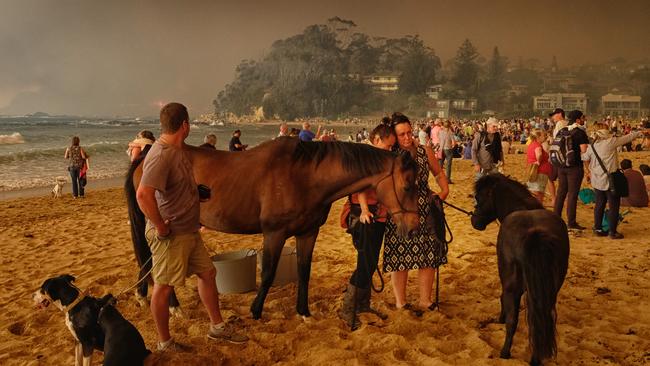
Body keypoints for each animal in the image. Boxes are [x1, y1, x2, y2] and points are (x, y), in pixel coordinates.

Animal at [125, 136, 420, 318]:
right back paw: (173, 307)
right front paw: (255, 311)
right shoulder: (274, 234)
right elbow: (267, 273)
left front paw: (303, 312)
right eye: (407, 186)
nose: (414, 227)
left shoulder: (308, 233)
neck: (304, 175)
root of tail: (147, 154)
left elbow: (304, 272)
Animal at [470, 174, 568, 366]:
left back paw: (505, 352)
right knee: (540, 320)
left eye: (479, 197)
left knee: (513, 320)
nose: (474, 220)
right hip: (550, 290)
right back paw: (536, 358)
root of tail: (534, 234)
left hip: (512, 287)